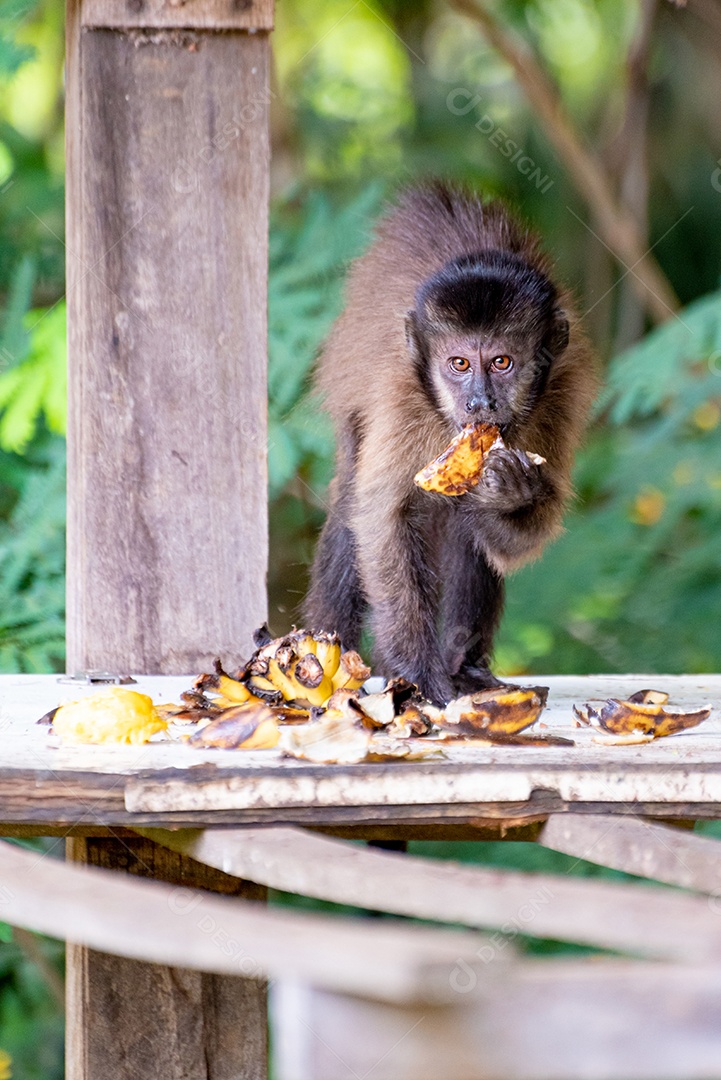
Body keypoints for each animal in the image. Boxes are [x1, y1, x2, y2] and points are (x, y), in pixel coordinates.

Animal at [302, 183, 595, 708]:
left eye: (502, 362)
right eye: (459, 364)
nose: (480, 402)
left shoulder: (564, 391)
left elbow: (525, 532)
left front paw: (508, 493)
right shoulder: (401, 391)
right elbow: (382, 519)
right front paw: (414, 671)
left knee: (468, 529)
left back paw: (465, 666)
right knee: (352, 502)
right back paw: (325, 656)